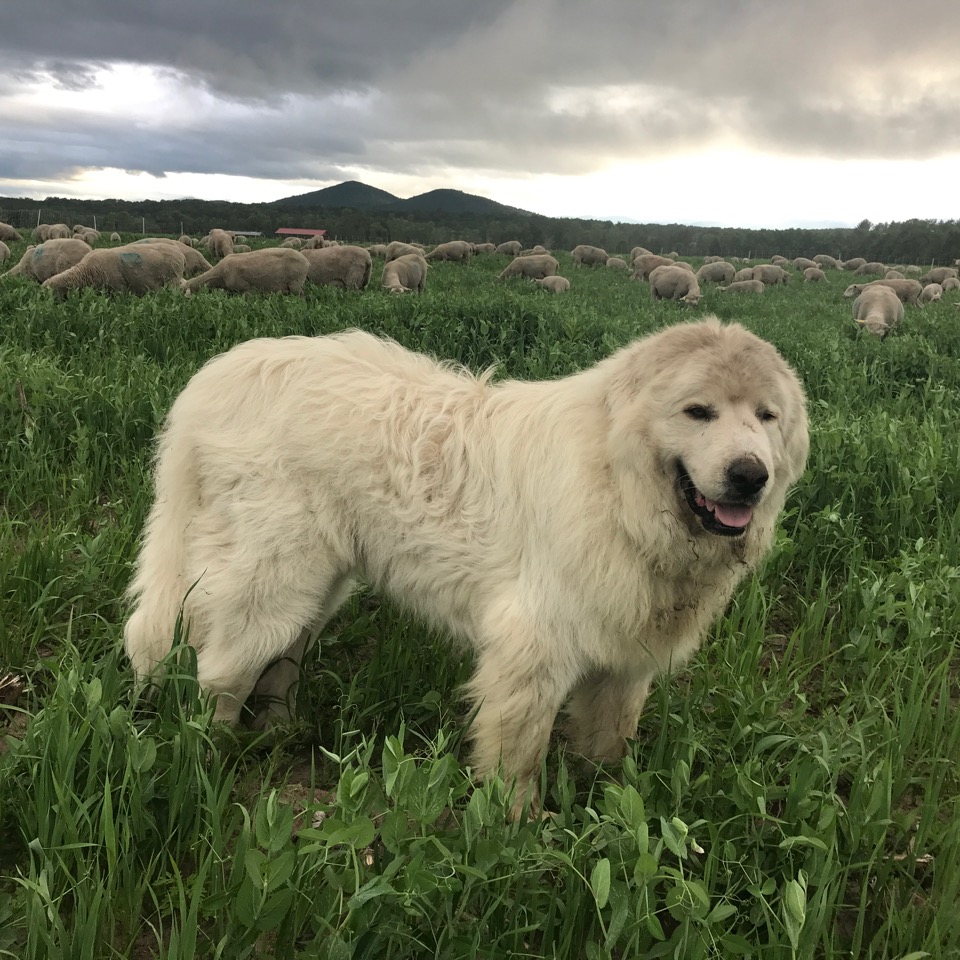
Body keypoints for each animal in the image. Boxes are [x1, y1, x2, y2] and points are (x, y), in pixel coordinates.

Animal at [124, 316, 808, 808]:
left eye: (766, 416)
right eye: (698, 411)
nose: (750, 475)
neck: (622, 488)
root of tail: (232, 371)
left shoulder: (624, 659)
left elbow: (611, 746)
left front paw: (608, 811)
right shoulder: (534, 648)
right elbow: (520, 758)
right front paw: (517, 836)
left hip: (319, 584)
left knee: (280, 657)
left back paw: (280, 730)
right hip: (274, 576)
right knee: (220, 672)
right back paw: (208, 762)